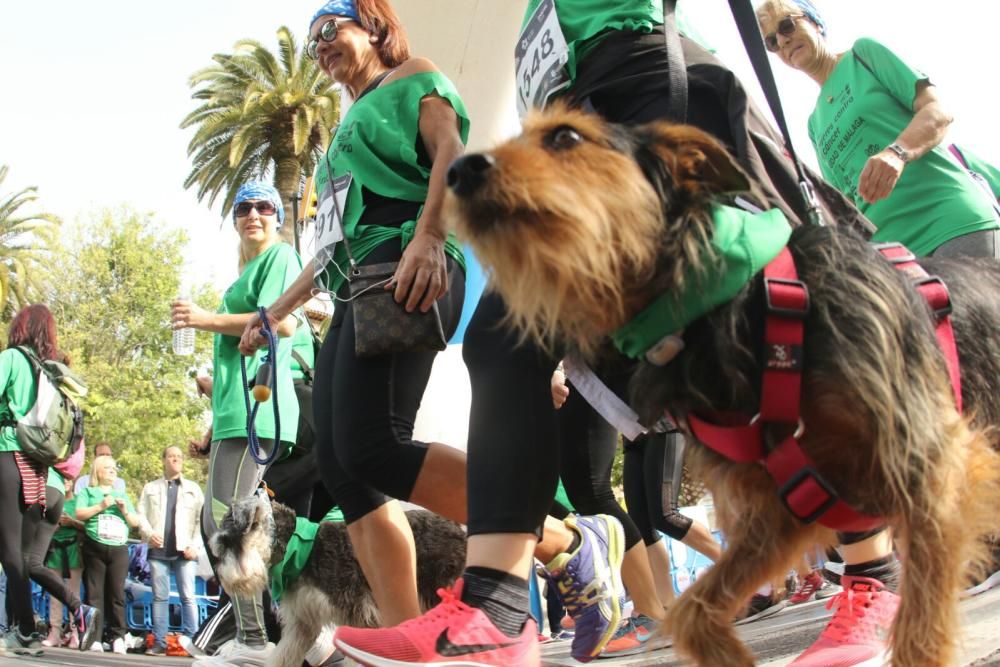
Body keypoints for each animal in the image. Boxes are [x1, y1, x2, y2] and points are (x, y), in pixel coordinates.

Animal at [212, 494, 468, 667]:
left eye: (225, 542)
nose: (223, 579)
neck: (300, 550)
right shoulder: (302, 622)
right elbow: (282, 656)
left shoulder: (361, 619)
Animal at [446, 107, 1000, 664]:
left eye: (566, 135)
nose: (455, 170)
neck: (725, 304)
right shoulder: (786, 503)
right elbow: (693, 610)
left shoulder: (930, 468)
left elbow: (921, 631)